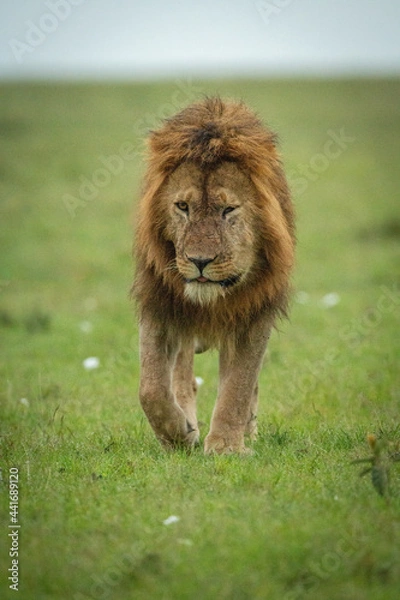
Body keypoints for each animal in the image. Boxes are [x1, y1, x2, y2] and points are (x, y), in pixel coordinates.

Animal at [134, 97, 294, 454]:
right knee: (181, 374)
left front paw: (226, 446)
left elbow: (239, 385)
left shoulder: (255, 312)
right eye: (182, 206)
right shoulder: (158, 303)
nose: (200, 261)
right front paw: (178, 434)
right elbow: (151, 387)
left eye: (228, 209)